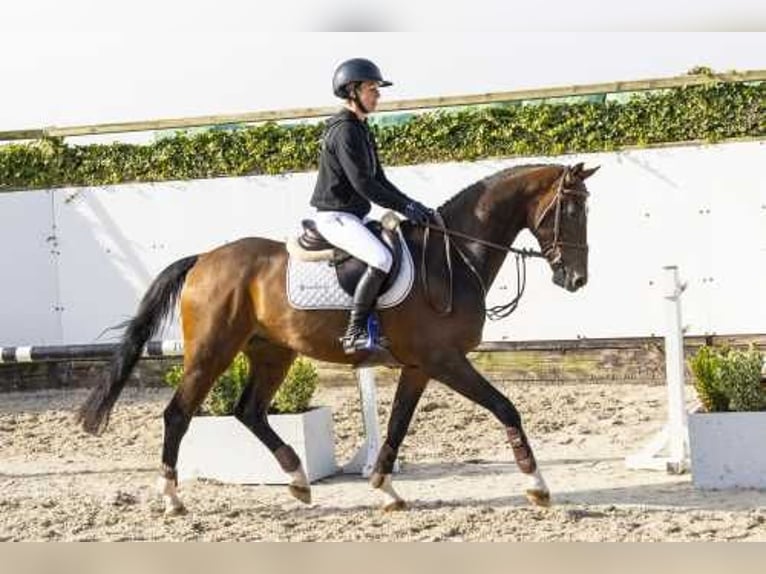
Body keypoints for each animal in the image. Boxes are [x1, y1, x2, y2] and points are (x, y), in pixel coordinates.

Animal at [76, 162, 600, 516]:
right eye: (572, 209)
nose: (576, 279)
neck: (452, 257)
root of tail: (205, 258)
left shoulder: (420, 366)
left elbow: (397, 426)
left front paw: (386, 489)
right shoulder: (445, 360)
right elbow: (505, 407)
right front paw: (537, 485)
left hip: (272, 353)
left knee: (249, 411)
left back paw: (297, 479)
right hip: (212, 351)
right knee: (178, 414)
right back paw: (171, 498)